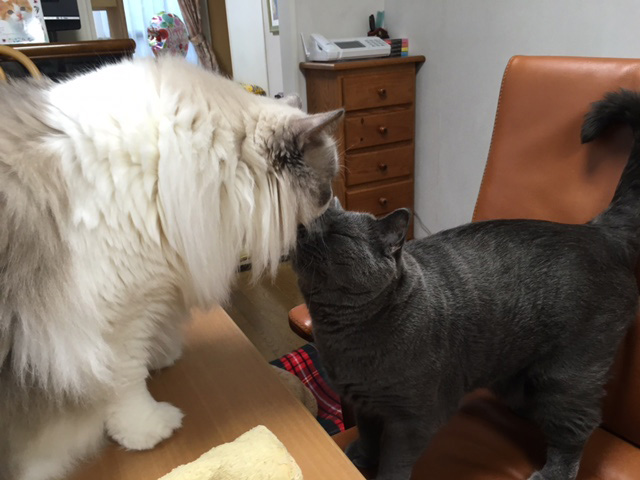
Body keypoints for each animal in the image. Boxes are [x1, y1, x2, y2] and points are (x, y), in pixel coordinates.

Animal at [0, 56, 342, 480]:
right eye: (325, 189)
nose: (333, 204)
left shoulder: (152, 293)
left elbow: (146, 349)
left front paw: (160, 359)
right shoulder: (119, 315)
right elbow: (126, 380)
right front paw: (148, 430)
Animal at [292, 89, 640, 480]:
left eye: (337, 233)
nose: (302, 228)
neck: (343, 336)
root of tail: (598, 230)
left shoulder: (412, 421)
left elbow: (394, 462)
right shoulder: (362, 402)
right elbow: (367, 435)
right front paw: (360, 458)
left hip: (572, 374)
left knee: (577, 428)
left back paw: (552, 471)